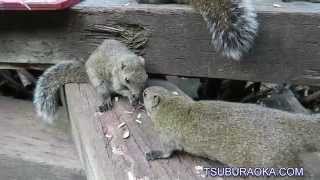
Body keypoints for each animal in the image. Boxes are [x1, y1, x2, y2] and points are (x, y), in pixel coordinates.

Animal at [144, 86, 320, 176]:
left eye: (145, 93)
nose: (144, 89)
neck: (171, 106)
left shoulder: (167, 135)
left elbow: (167, 152)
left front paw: (154, 154)